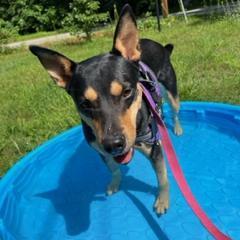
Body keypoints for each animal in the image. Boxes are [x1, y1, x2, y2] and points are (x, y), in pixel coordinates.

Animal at [30, 4, 182, 215]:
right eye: (84, 104)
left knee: (175, 110)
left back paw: (177, 127)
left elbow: (163, 177)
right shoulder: (100, 150)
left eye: (126, 92)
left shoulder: (154, 148)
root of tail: (158, 45)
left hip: (171, 90)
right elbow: (114, 168)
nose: (113, 144)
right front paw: (115, 182)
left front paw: (163, 199)